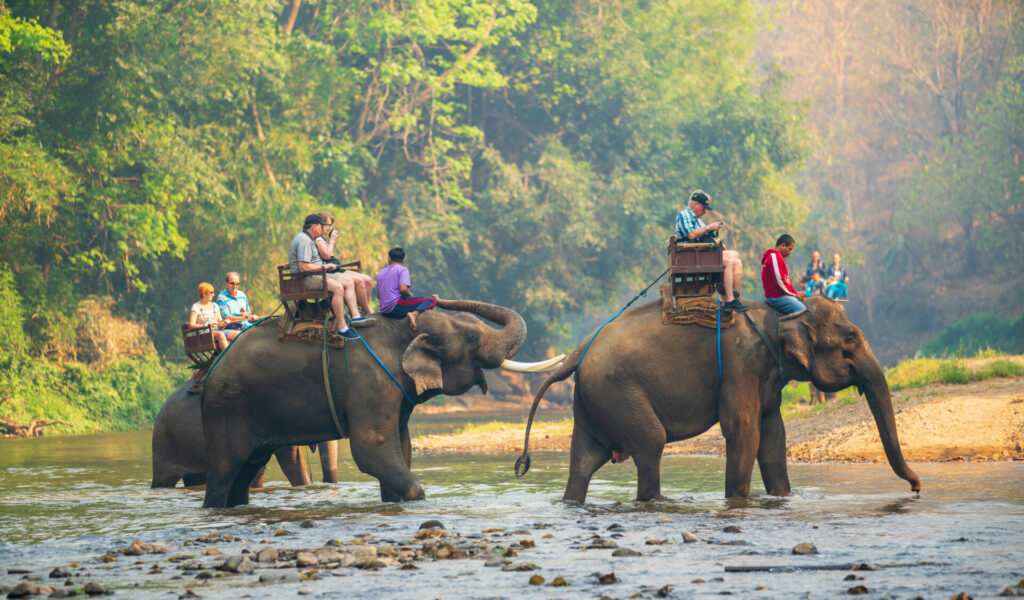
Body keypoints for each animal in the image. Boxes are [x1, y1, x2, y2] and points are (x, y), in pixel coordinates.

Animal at [200, 296, 565, 507]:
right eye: (473, 338)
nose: (435, 297)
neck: (401, 329)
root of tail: (211, 370)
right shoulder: (370, 380)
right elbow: (371, 446)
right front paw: (416, 497)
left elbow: (402, 445)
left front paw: (394, 501)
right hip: (227, 408)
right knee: (225, 470)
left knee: (245, 471)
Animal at [516, 294, 925, 499]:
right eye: (850, 342)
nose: (917, 487)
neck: (779, 314)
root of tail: (577, 352)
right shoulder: (739, 363)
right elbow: (744, 430)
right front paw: (736, 502)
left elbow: (773, 436)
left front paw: (782, 498)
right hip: (616, 391)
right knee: (650, 443)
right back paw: (655, 503)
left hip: (594, 400)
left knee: (584, 461)